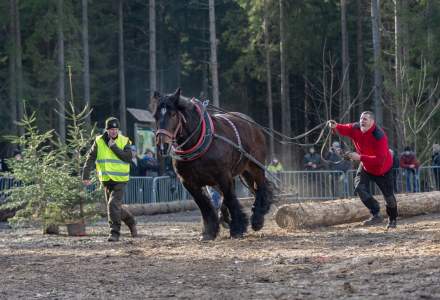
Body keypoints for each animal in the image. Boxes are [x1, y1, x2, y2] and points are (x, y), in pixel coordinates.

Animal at [151, 88, 274, 240]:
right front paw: (209, 231)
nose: (163, 145)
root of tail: (252, 124)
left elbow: (230, 199)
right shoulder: (188, 182)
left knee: (261, 187)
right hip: (243, 172)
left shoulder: (223, 176)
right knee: (253, 189)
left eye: (173, 114)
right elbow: (204, 205)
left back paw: (257, 219)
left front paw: (237, 228)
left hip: (255, 166)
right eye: (155, 116)